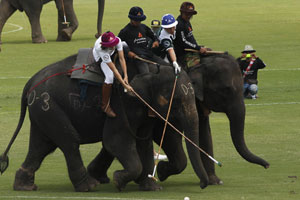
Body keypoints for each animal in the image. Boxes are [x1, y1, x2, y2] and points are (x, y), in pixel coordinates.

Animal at [0, 54, 210, 191]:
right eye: (176, 102)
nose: (202, 186)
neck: (152, 67)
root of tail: (30, 83)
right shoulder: (123, 102)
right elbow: (115, 141)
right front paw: (119, 180)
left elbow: (143, 141)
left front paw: (152, 185)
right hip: (48, 106)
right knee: (69, 141)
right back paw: (88, 186)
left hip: (43, 111)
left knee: (41, 146)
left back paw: (25, 186)